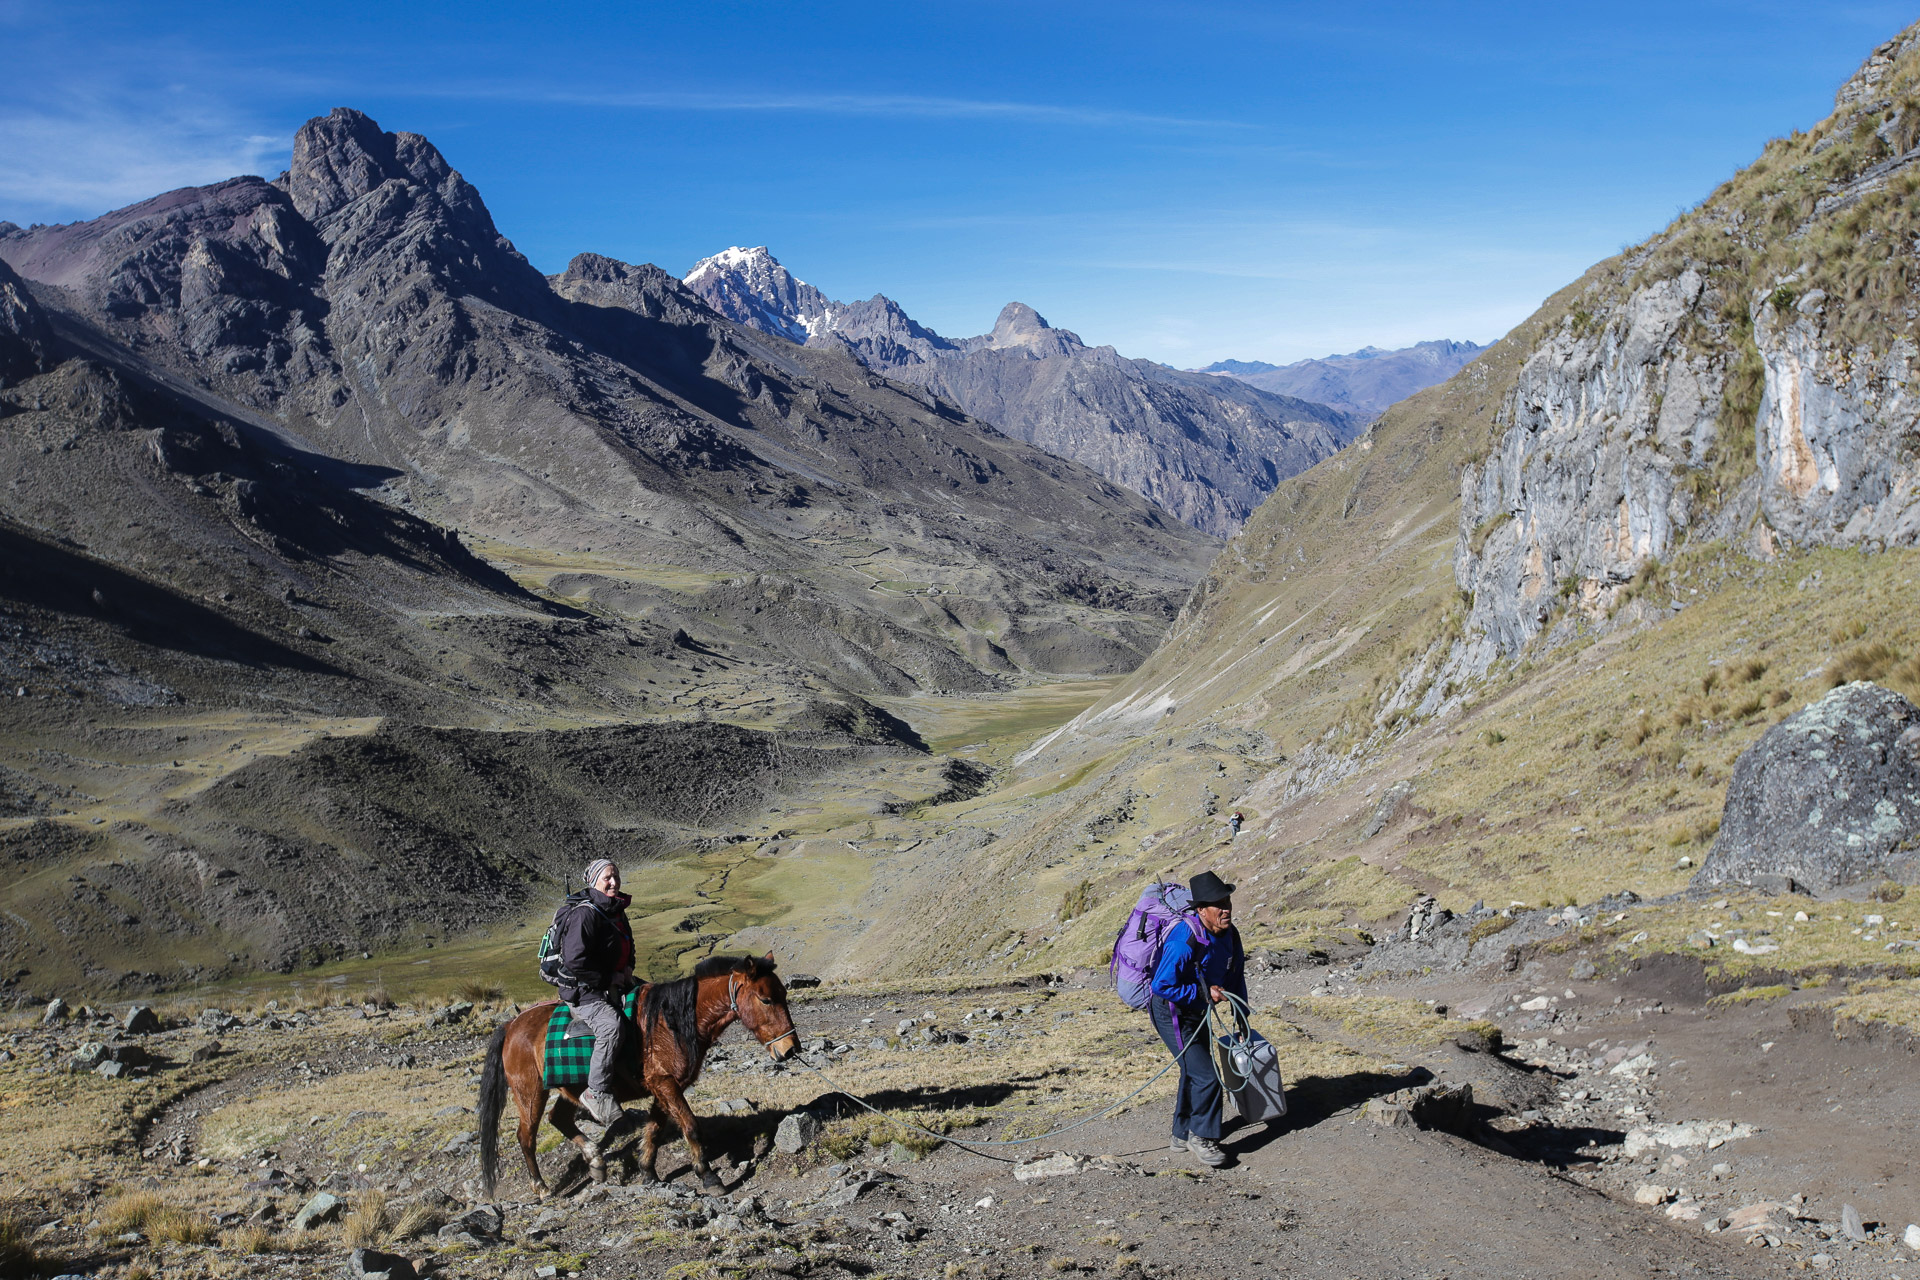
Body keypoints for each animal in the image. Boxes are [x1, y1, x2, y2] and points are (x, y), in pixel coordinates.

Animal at [476, 951, 798, 1205]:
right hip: (529, 1093)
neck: (671, 1022)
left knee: (559, 1118)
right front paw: (708, 1176)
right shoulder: (665, 1083)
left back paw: (595, 1162)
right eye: (766, 999)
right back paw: (541, 1187)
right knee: (526, 1136)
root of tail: (511, 1025)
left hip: (571, 1087)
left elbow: (655, 1128)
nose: (790, 1049)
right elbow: (690, 1126)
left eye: (783, 996)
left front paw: (648, 1172)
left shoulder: (663, 1085)